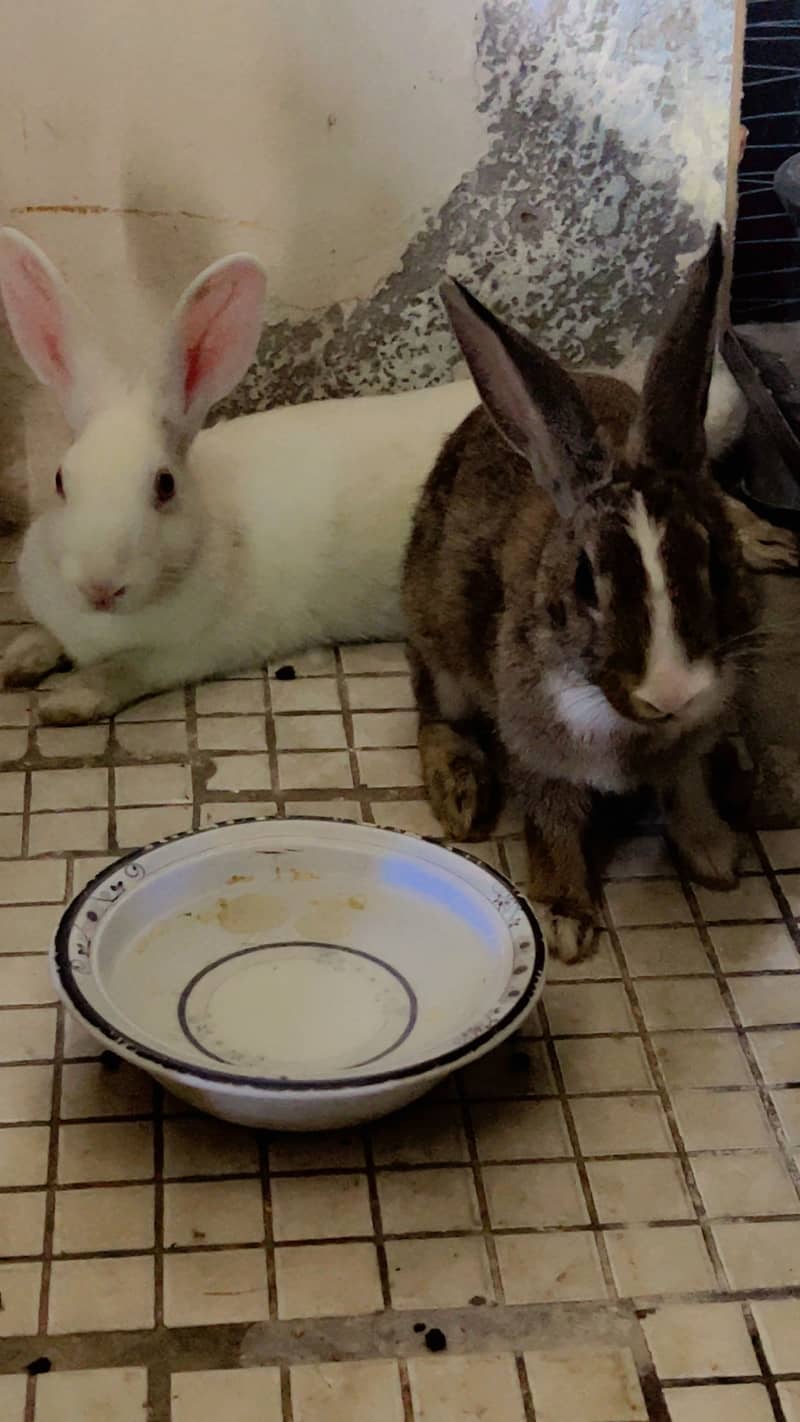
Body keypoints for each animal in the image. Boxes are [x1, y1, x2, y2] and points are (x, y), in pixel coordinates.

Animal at [0, 228, 478, 723]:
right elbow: (47, 635)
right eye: (60, 481)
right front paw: (17, 661)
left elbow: (123, 670)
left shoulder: (189, 652)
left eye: (165, 485)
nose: (100, 587)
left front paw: (67, 702)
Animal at [403, 229, 767, 962]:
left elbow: (687, 788)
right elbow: (553, 821)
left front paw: (716, 857)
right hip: (439, 645)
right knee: (434, 715)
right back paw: (461, 793)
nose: (672, 690)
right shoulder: (539, 748)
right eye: (582, 580)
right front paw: (566, 919)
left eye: (715, 559)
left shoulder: (694, 740)